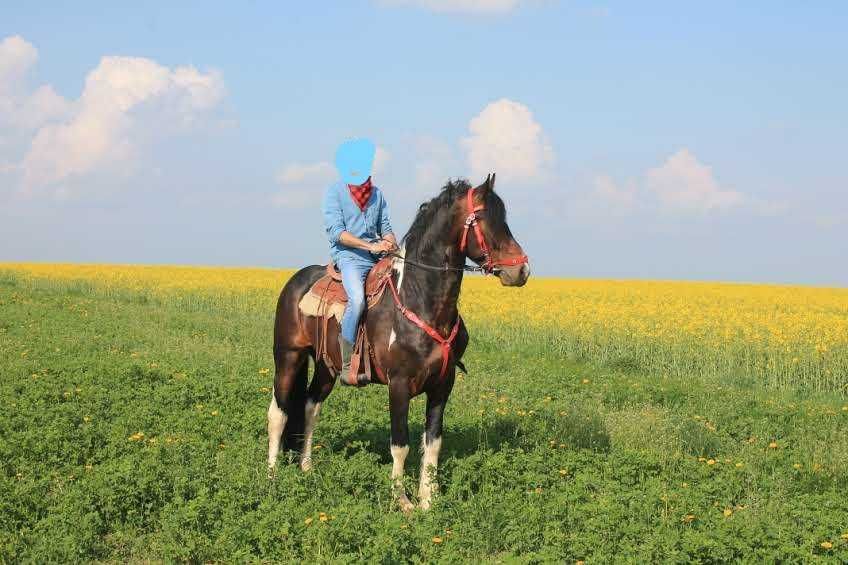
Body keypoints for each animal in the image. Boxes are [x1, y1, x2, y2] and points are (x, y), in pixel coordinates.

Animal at [266, 173, 528, 512]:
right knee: (279, 412)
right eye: (484, 219)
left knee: (311, 406)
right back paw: (272, 475)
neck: (419, 299)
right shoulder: (399, 384)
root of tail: (295, 283)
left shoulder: (443, 384)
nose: (521, 269)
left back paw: (306, 466)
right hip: (289, 357)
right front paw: (402, 501)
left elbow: (433, 443)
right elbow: (400, 444)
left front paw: (429, 499)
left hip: (326, 366)